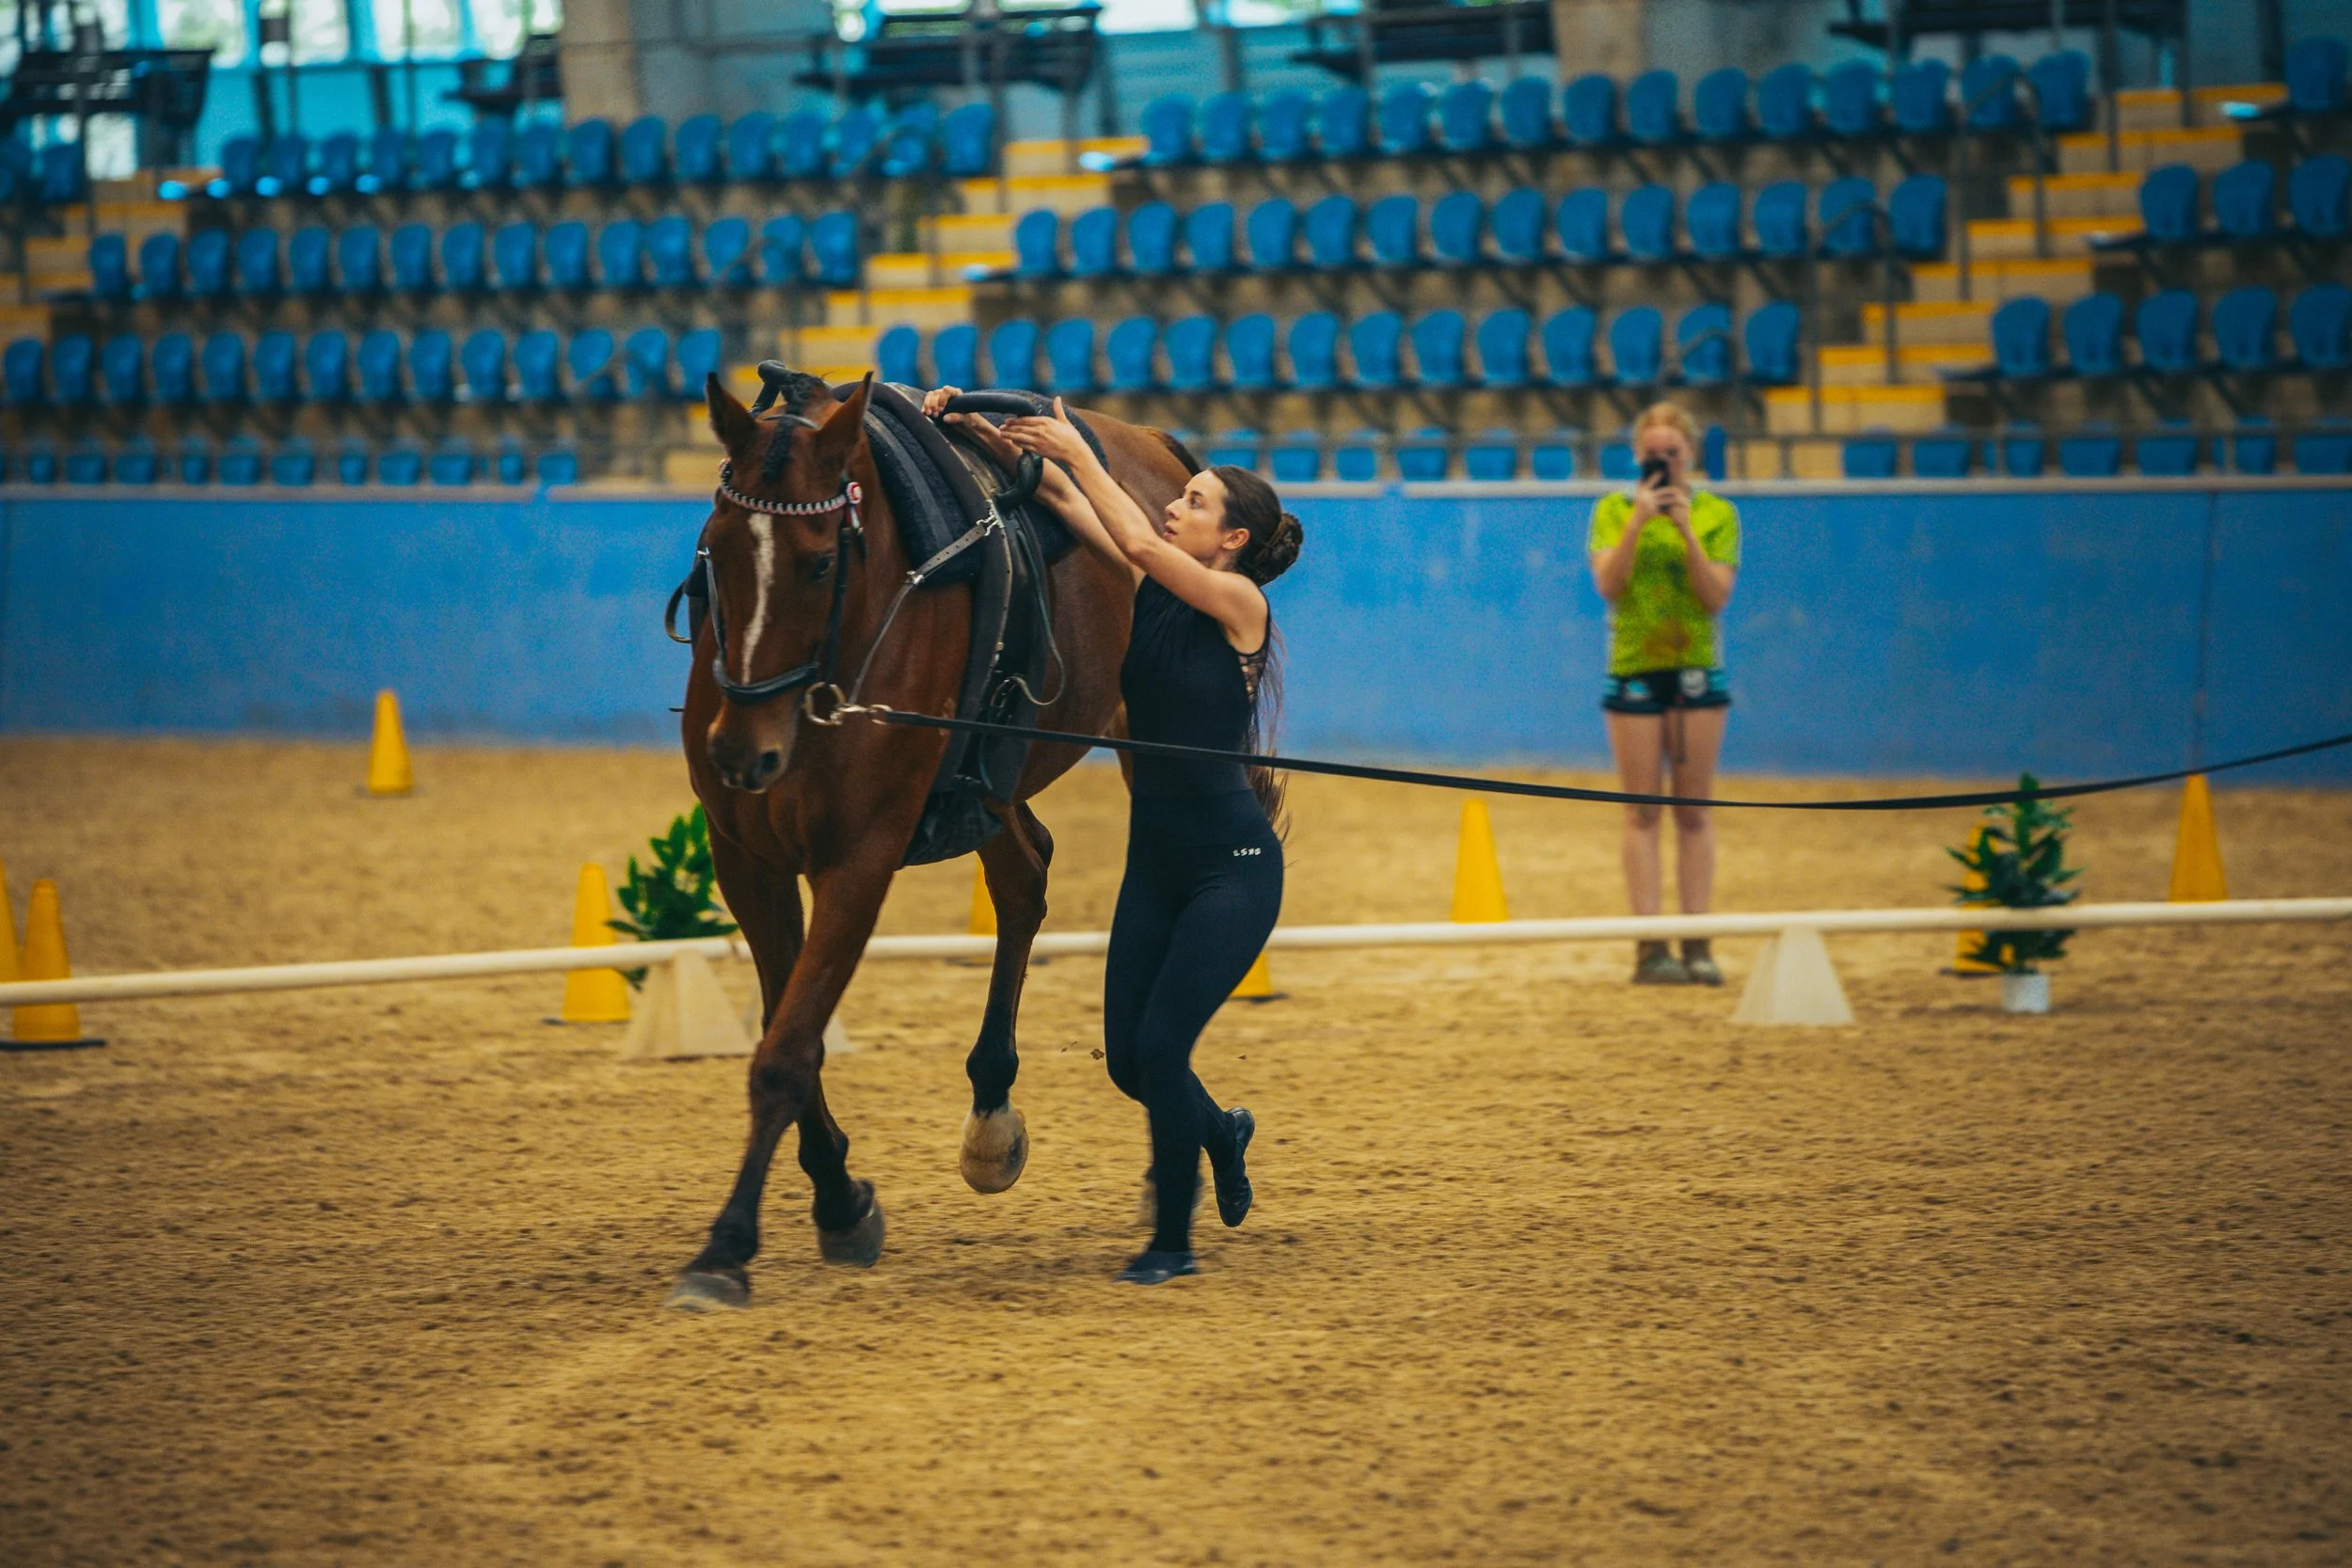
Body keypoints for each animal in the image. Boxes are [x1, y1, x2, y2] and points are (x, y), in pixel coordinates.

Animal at [667, 368, 1196, 1310]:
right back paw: (990, 1112)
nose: (740, 751)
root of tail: (1156, 445)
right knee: (1024, 881)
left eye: (820, 561)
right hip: (990, 781)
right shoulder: (746, 859)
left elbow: (787, 1050)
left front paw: (726, 1247)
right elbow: (782, 1024)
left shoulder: (860, 858)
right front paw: (838, 1198)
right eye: (715, 552)